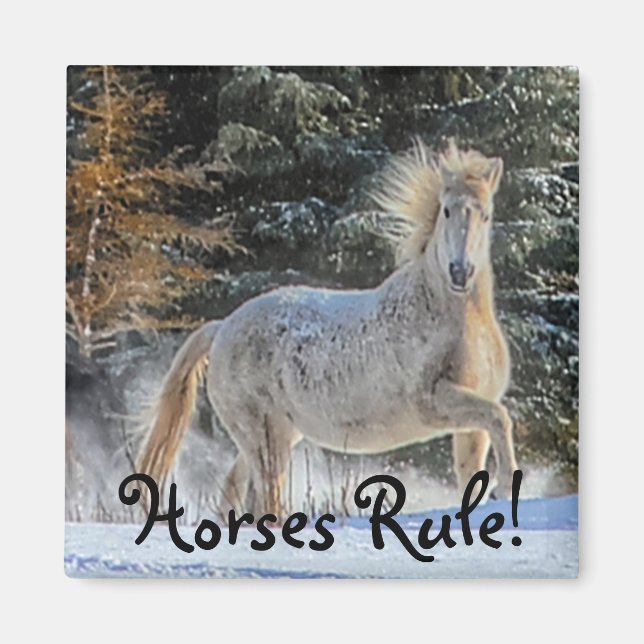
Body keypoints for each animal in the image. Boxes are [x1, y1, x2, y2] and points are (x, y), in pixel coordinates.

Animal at [136, 138, 518, 519]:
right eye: (447, 211)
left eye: (485, 213)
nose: (459, 272)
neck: (445, 313)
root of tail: (221, 328)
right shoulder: (434, 402)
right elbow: (500, 417)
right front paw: (504, 487)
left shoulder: (470, 424)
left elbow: (474, 462)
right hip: (264, 437)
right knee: (267, 498)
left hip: (276, 433)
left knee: (234, 490)